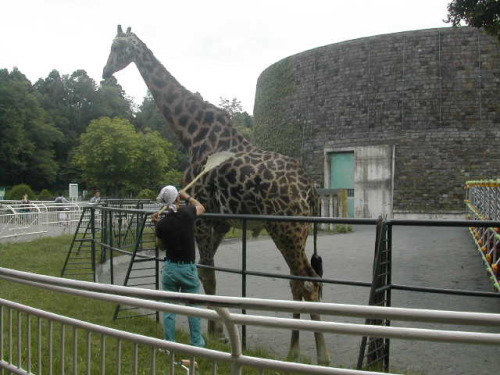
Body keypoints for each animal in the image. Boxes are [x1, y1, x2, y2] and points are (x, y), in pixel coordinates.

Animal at [103, 25, 330, 366]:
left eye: (117, 47)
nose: (104, 72)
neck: (190, 133)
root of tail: (309, 187)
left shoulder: (202, 218)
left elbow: (205, 274)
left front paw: (212, 335)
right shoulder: (220, 221)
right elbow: (209, 274)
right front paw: (219, 333)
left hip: (287, 228)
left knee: (307, 282)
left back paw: (316, 356)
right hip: (294, 231)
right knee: (300, 280)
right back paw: (298, 352)